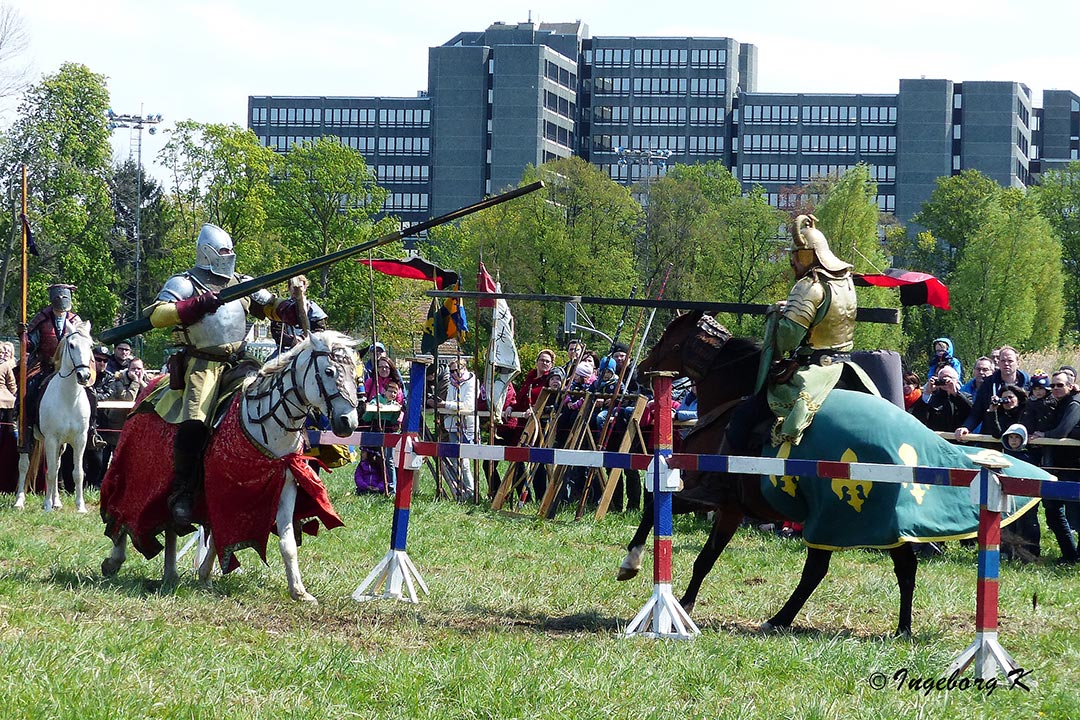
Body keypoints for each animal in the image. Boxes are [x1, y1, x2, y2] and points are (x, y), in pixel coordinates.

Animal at [15, 319, 95, 511]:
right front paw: (47, 506)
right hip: (29, 436)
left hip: (60, 444)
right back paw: (20, 501)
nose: (84, 375)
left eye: (90, 345)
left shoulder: (80, 439)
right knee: (24, 465)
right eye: (71, 345)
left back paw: (56, 501)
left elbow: (77, 472)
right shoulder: (52, 438)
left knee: (57, 466)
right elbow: (50, 472)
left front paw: (80, 507)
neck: (69, 399)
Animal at [98, 332, 358, 604]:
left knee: (169, 525)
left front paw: (298, 591)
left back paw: (170, 574)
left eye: (356, 375)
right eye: (328, 371)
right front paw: (205, 574)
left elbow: (284, 542)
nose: (347, 422)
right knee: (125, 509)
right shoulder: (222, 487)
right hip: (138, 473)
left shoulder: (284, 486)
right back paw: (115, 560)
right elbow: (220, 531)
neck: (265, 422)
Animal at [622, 310, 915, 634]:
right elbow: (706, 558)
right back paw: (901, 628)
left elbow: (653, 507)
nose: (640, 372)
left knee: (819, 570)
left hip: (832, 520)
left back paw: (779, 620)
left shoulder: (703, 496)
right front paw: (685, 605)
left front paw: (632, 561)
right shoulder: (731, 510)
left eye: (669, 338)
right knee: (899, 566)